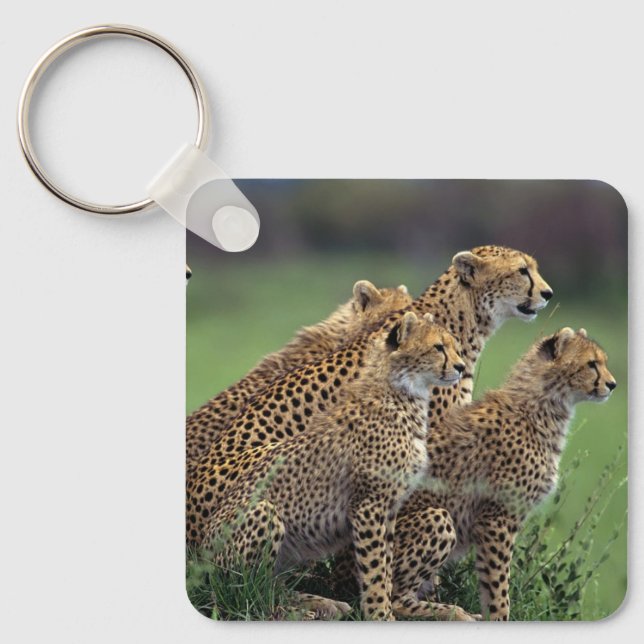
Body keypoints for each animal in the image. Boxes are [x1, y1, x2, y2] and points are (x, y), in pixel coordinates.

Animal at [190, 312, 466, 620]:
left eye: (454, 345)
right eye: (438, 347)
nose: (461, 367)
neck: (403, 394)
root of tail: (200, 556)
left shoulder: (389, 508)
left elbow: (385, 565)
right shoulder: (368, 505)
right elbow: (375, 569)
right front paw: (379, 615)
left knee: (271, 584)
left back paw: (324, 603)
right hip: (263, 514)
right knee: (249, 589)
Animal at [390, 327, 616, 621]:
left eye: (602, 362)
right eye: (591, 364)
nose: (612, 384)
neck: (542, 406)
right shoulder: (497, 519)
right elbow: (498, 586)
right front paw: (499, 618)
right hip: (435, 518)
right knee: (394, 598)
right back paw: (455, 613)